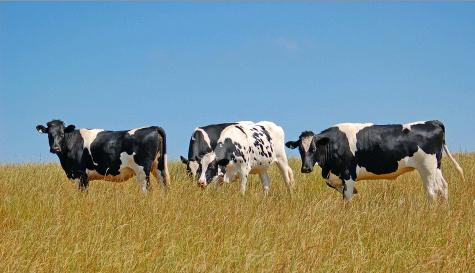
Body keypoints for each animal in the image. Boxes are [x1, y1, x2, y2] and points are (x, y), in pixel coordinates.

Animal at [37, 119, 171, 191]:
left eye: (62, 133)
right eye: (49, 134)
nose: (55, 148)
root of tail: (153, 127)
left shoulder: (80, 175)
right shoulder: (85, 178)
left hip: (142, 170)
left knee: (146, 190)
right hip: (158, 167)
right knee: (164, 186)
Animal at [286, 120, 464, 201]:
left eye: (314, 148)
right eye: (300, 149)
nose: (306, 168)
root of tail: (433, 122)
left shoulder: (348, 174)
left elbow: (347, 198)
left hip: (427, 168)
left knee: (432, 192)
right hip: (436, 167)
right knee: (443, 187)